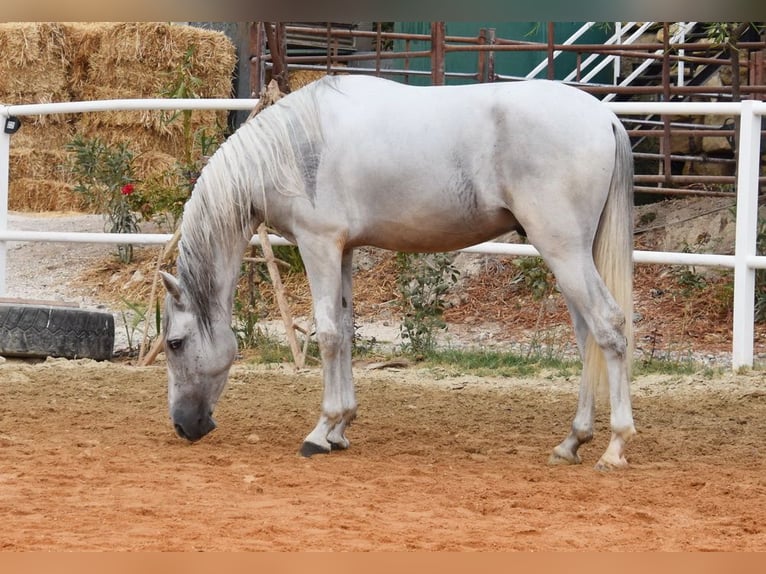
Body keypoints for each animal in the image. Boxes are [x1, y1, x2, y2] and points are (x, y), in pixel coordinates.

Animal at [160, 74, 635, 470]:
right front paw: (340, 429)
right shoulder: (343, 251)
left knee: (609, 327)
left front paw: (320, 430)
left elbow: (328, 334)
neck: (292, 147)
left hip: (563, 250)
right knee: (587, 338)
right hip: (572, 255)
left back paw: (615, 447)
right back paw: (572, 441)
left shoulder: (319, 245)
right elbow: (345, 331)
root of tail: (604, 117)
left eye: (174, 343)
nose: (183, 426)